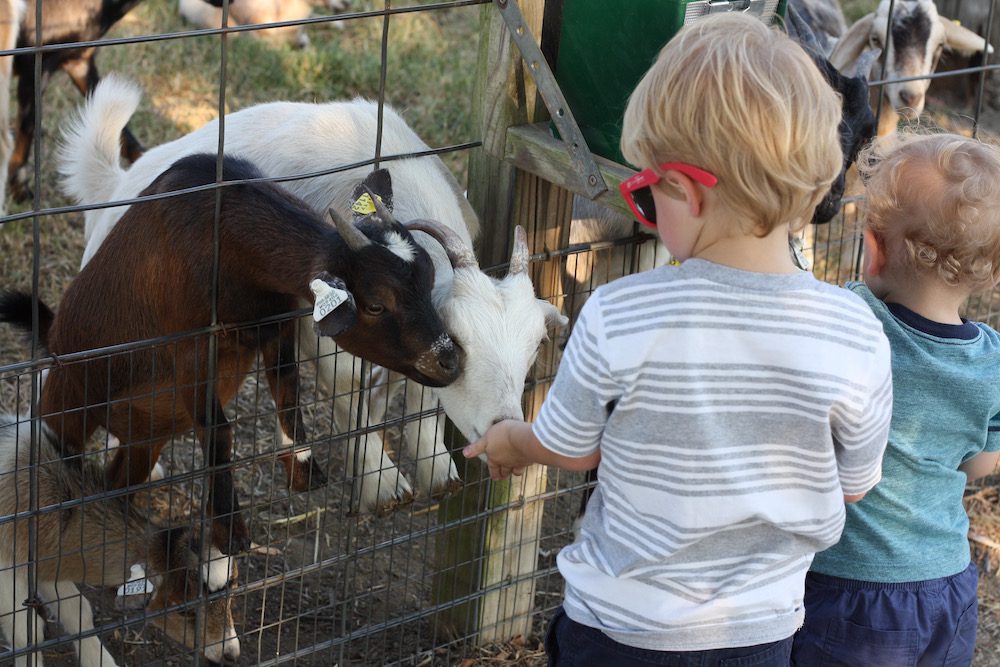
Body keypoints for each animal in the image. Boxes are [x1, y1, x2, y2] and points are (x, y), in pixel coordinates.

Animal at [0, 151, 460, 552]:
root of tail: (54, 331)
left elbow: (288, 388)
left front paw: (303, 470)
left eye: (429, 280)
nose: (449, 360)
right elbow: (220, 431)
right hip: (69, 397)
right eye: (376, 304)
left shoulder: (275, 322)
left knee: (116, 487)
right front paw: (230, 531)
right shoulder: (190, 349)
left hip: (145, 434)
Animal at [0, 414, 240, 664]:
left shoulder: (47, 561)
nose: (230, 653)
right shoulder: (7, 569)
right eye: (184, 610)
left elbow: (78, 610)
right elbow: (25, 634)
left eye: (232, 593)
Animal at [60, 75, 564, 516]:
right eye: (461, 341)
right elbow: (346, 384)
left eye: (535, 348)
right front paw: (380, 482)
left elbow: (417, 391)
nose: (506, 434)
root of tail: (115, 185)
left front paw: (434, 469)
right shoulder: (317, 315)